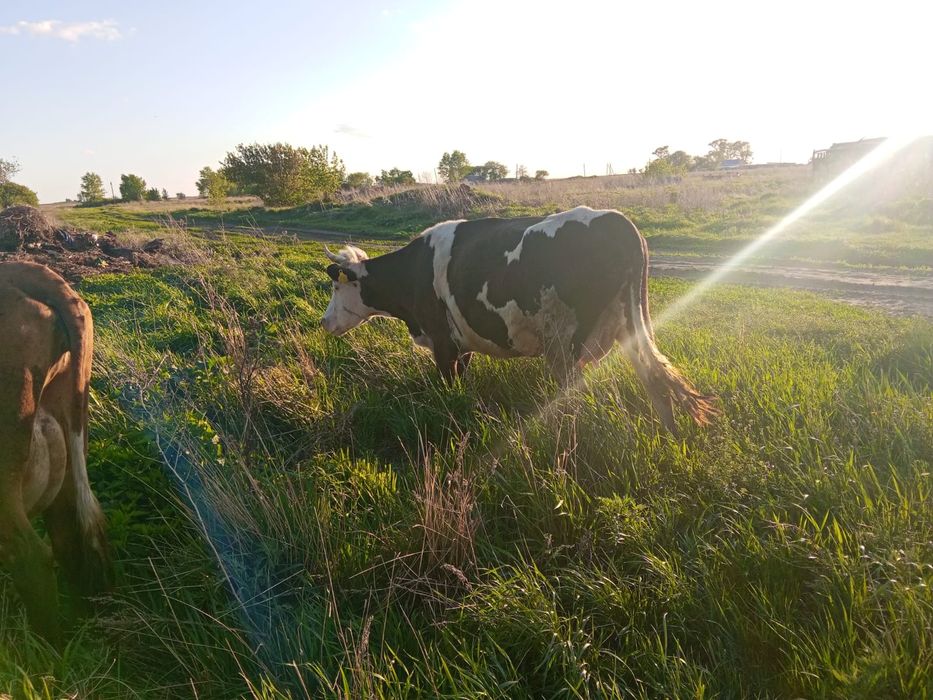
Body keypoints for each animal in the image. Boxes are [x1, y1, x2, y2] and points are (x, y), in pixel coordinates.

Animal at [321, 206, 717, 434]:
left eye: (336, 288)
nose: (324, 323)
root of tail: (617, 221)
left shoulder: (443, 343)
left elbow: (449, 392)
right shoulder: (461, 344)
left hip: (566, 345)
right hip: (630, 327)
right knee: (656, 385)